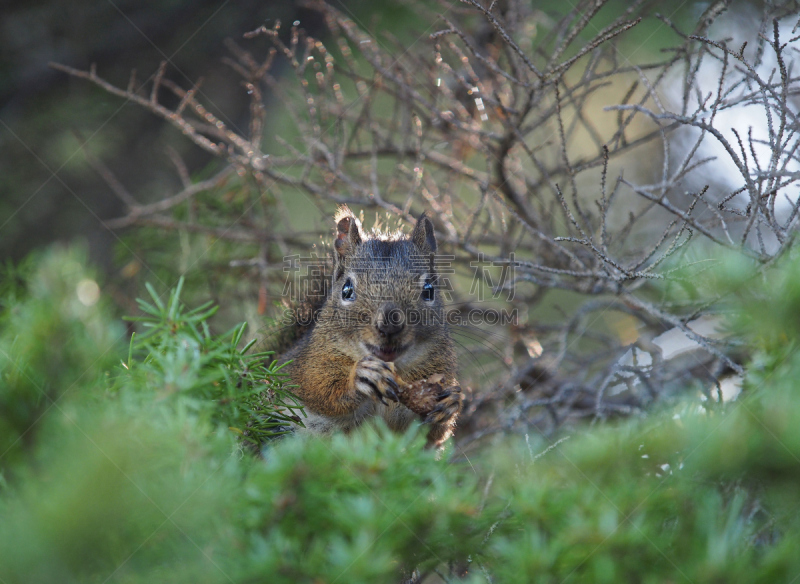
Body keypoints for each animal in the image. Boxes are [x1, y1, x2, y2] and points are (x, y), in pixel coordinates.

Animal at [278, 208, 462, 450]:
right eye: (347, 290)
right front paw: (361, 376)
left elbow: (427, 432)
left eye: (429, 290)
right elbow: (321, 390)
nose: (389, 325)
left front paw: (450, 403)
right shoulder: (310, 364)